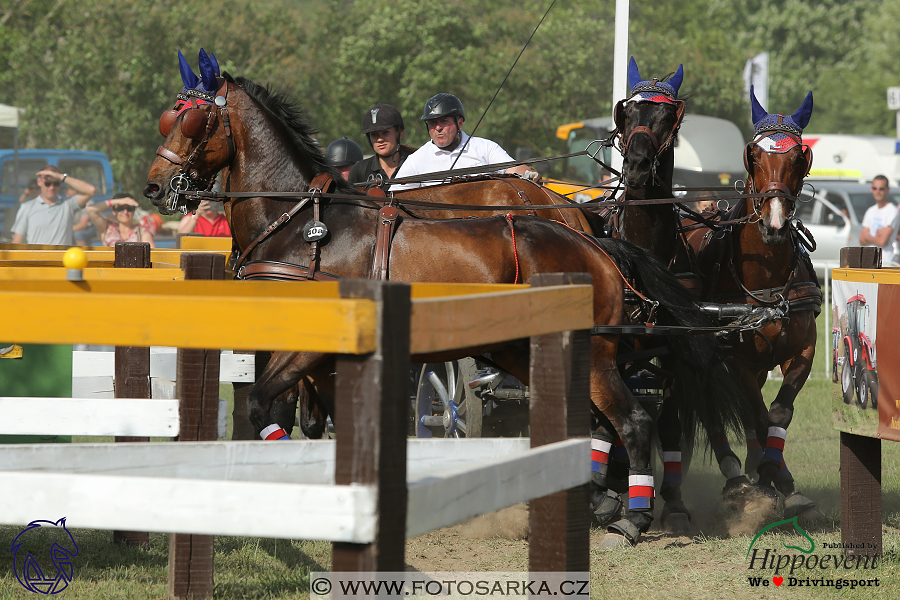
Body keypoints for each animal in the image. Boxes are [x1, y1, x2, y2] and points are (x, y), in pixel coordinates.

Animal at [144, 52, 748, 548]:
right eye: (169, 118)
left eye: (194, 121)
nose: (154, 187)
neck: (301, 225)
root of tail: (592, 238)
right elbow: (319, 423)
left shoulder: (308, 348)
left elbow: (265, 407)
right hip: (523, 351)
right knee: (593, 422)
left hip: (593, 355)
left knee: (633, 420)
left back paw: (632, 516)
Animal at [676, 86, 824, 516]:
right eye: (754, 156)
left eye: (799, 157)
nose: (774, 224)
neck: (768, 280)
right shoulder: (736, 359)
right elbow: (756, 413)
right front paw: (769, 478)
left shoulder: (803, 349)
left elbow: (778, 412)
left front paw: (778, 475)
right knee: (708, 407)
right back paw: (733, 475)